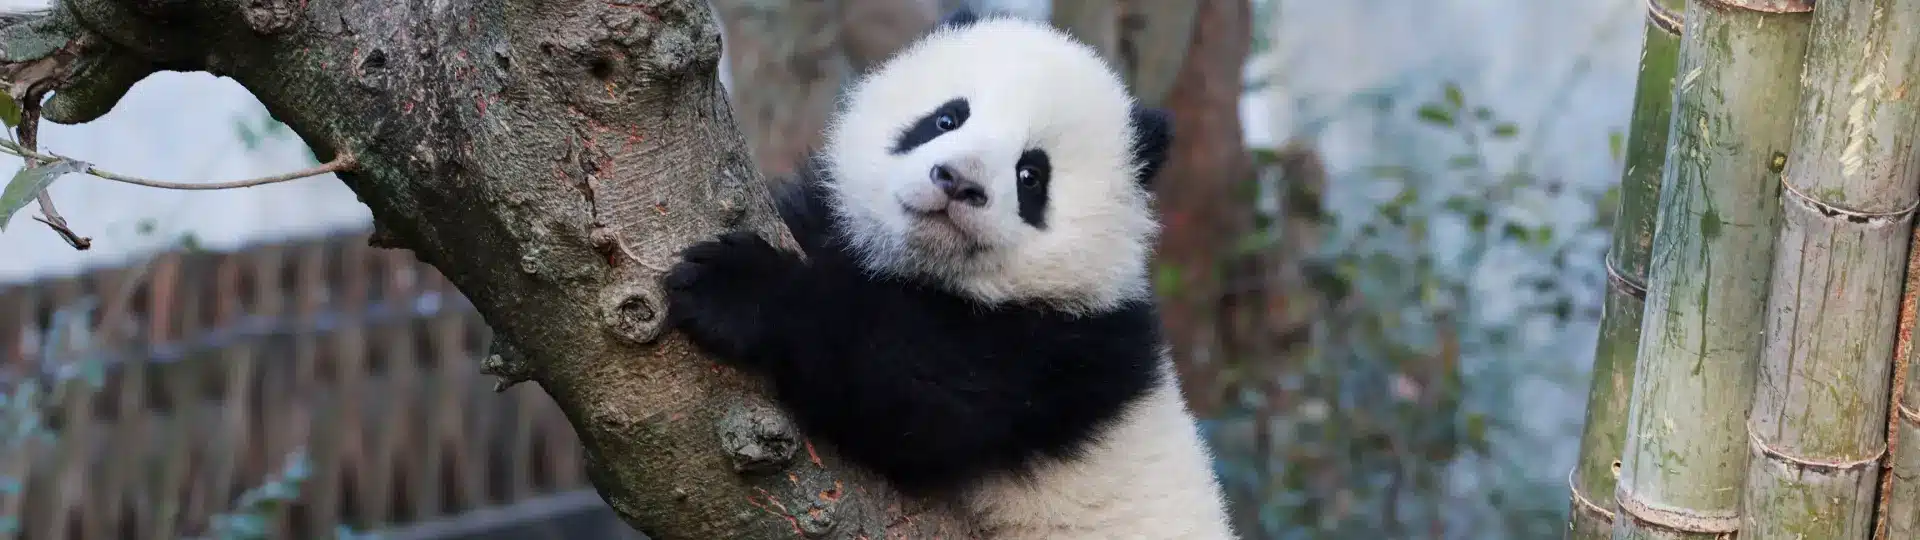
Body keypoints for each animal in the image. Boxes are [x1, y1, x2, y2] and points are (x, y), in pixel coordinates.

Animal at [665, 10, 1236, 540]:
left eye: (1031, 174)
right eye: (946, 119)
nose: (958, 181)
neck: (929, 270)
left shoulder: (1062, 351)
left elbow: (915, 395)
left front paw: (737, 289)